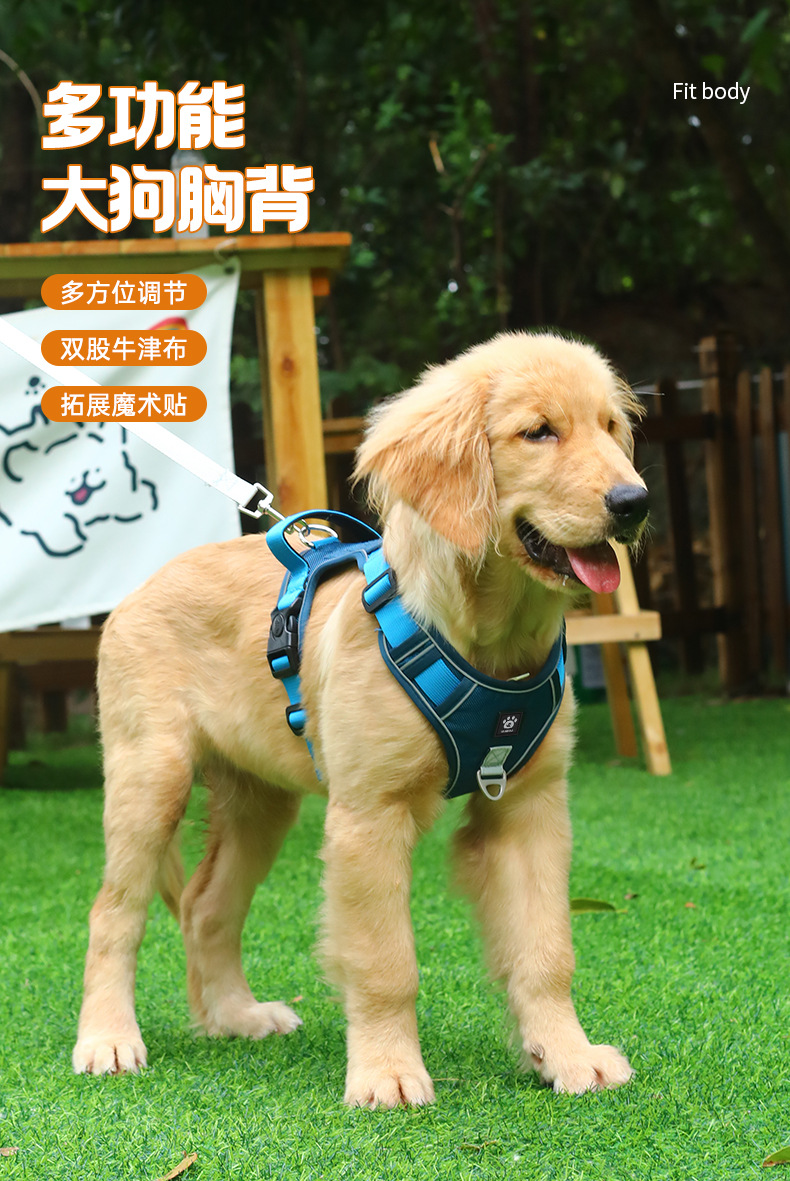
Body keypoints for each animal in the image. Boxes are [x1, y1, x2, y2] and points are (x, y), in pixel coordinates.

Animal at [72, 331, 647, 1107]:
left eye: (610, 427)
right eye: (539, 432)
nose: (634, 501)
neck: (486, 645)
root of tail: (138, 589)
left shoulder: (529, 807)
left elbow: (546, 949)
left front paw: (566, 1053)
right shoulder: (370, 816)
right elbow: (385, 962)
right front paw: (388, 1072)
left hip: (260, 803)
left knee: (204, 905)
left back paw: (234, 1016)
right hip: (149, 777)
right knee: (115, 911)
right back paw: (107, 1038)